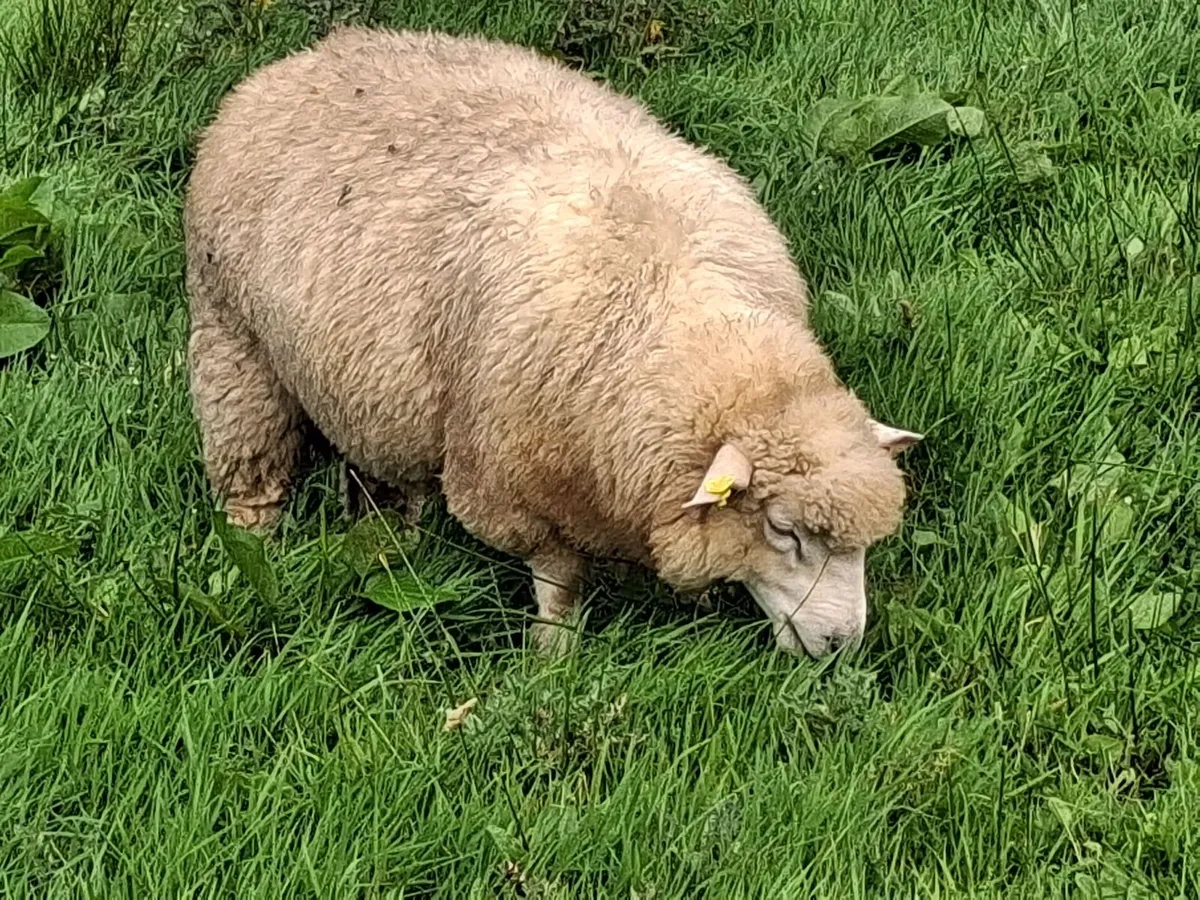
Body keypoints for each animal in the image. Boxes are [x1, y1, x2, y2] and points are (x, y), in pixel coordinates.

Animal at [183, 25, 922, 658]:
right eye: (784, 531)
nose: (842, 645)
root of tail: (311, 55)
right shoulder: (518, 491)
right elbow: (559, 579)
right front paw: (553, 654)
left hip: (364, 382)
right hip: (232, 339)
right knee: (250, 467)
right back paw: (253, 546)